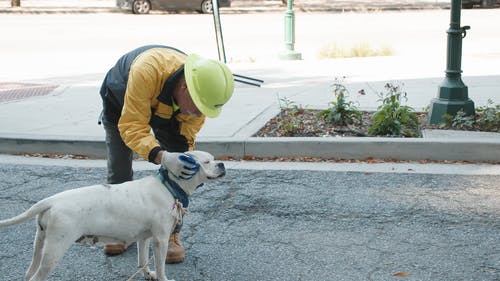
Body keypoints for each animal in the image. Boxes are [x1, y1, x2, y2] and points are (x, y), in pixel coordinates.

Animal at [0, 150, 225, 278]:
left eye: (215, 159)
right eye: (206, 162)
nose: (222, 164)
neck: (169, 185)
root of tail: (51, 201)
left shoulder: (145, 238)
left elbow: (143, 261)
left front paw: (147, 274)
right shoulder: (160, 240)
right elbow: (161, 268)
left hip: (39, 244)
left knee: (28, 273)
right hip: (54, 250)